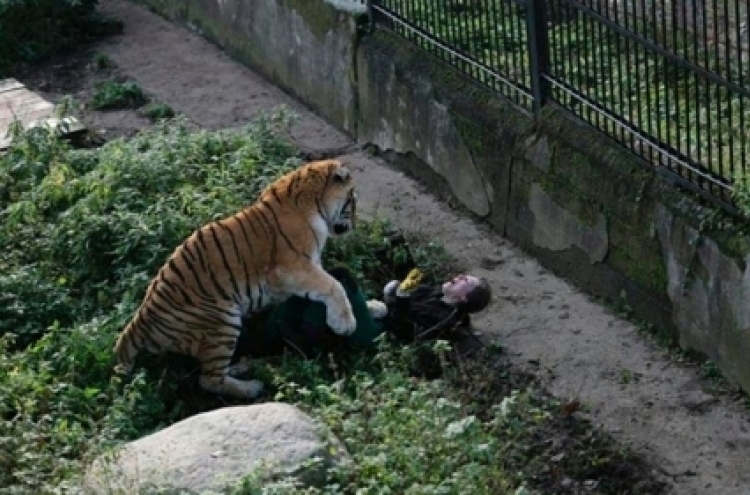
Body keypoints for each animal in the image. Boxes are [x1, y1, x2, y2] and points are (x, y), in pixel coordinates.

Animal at [113, 159, 360, 400]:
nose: (355, 225)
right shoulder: (290, 268)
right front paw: (345, 324)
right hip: (223, 321)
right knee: (209, 379)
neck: (313, 200)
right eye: (352, 200)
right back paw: (251, 388)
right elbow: (333, 285)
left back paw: (242, 367)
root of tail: (140, 320)